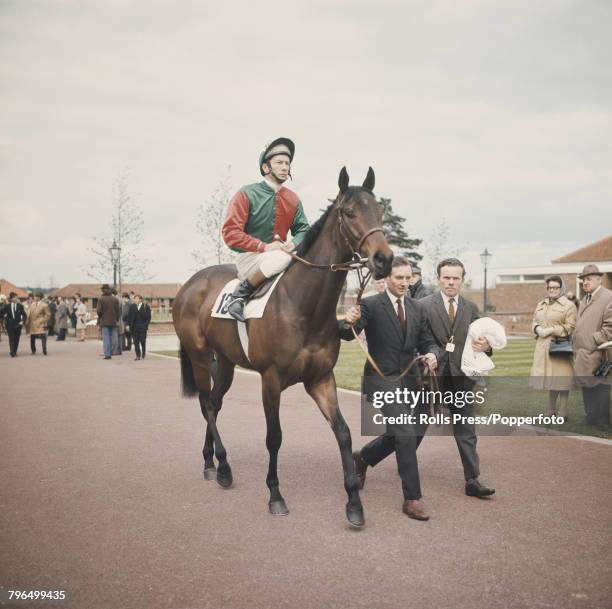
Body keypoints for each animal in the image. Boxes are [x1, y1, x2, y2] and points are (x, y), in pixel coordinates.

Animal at [172, 167, 392, 528]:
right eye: (349, 212)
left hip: (226, 362)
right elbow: (273, 437)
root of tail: (190, 285)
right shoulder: (270, 379)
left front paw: (354, 503)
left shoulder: (321, 378)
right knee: (206, 404)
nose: (384, 259)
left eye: (380, 210)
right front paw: (275, 495)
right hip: (201, 357)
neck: (304, 306)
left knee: (214, 404)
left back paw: (211, 463)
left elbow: (343, 433)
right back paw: (224, 466)